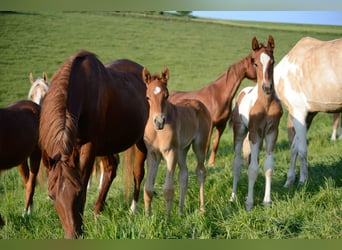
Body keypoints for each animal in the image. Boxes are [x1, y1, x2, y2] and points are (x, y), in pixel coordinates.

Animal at [38, 50, 148, 238]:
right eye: (51, 196)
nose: (72, 235)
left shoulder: (89, 146)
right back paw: (97, 211)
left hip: (139, 139)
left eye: (78, 192)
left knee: (138, 172)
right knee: (111, 167)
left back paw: (133, 209)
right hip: (105, 144)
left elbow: (83, 180)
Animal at [142, 67, 211, 217]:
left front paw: (167, 218)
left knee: (201, 172)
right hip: (182, 150)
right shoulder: (153, 155)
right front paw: (148, 217)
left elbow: (168, 189)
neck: (158, 132)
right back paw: (180, 211)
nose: (159, 122)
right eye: (147, 97)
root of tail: (199, 103)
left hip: (199, 145)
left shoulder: (170, 152)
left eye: (166, 95)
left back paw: (202, 209)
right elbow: (148, 188)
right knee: (183, 175)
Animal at [168, 36, 262, 167]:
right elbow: (206, 145)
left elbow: (215, 144)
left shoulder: (221, 125)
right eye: (255, 63)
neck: (218, 95)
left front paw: (211, 163)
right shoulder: (210, 125)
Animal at [228, 35, 282, 211]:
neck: (265, 104)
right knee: (237, 164)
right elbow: (251, 169)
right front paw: (249, 203)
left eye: (272, 61)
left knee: (255, 160)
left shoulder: (272, 132)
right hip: (240, 132)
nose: (267, 87)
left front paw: (267, 201)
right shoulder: (254, 133)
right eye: (255, 63)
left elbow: (268, 167)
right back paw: (233, 197)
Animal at [274, 36, 342, 187]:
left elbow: (301, 149)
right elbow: (294, 147)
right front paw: (289, 180)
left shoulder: (299, 112)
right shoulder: (307, 115)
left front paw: (302, 181)